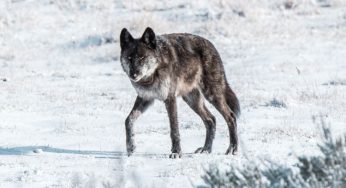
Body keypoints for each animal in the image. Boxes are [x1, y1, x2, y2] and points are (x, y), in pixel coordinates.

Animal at [120, 26, 239, 159]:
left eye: (142, 57)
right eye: (129, 58)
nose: (133, 74)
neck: (152, 75)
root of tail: (211, 45)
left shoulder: (170, 99)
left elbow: (174, 129)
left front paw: (176, 152)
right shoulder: (145, 98)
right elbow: (128, 120)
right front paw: (130, 147)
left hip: (212, 94)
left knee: (231, 116)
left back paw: (232, 149)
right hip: (192, 100)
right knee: (211, 119)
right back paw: (206, 149)